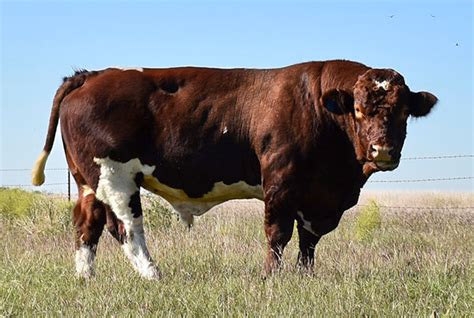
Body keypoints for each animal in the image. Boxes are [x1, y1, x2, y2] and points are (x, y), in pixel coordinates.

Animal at [30, 59, 436, 278]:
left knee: (88, 224)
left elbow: (308, 240)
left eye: (403, 111)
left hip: (89, 181)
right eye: (359, 110)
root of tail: (93, 74)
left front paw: (306, 275)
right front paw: (272, 277)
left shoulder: (318, 197)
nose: (383, 150)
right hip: (116, 177)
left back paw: (86, 278)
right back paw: (154, 275)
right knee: (126, 228)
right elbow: (278, 234)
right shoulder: (281, 183)